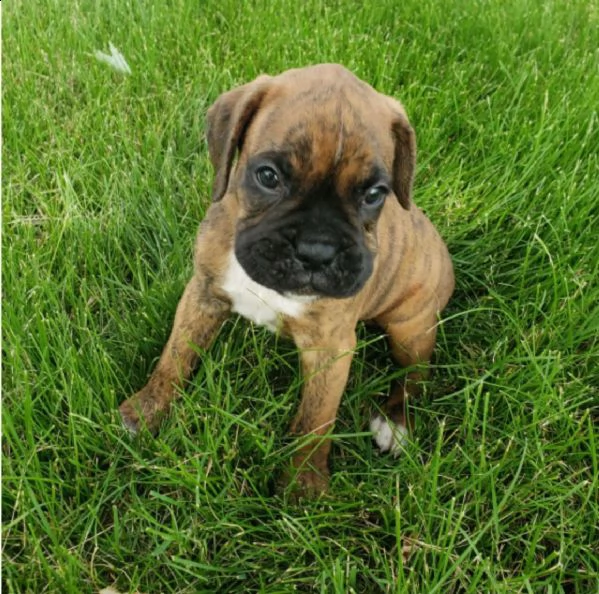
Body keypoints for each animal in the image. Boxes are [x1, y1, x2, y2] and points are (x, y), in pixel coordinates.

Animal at [120, 63, 454, 494]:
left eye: (374, 194)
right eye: (268, 176)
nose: (316, 251)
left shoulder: (332, 348)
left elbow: (316, 418)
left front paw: (303, 484)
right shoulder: (203, 294)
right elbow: (175, 355)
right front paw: (147, 409)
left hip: (411, 328)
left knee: (415, 374)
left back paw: (396, 423)